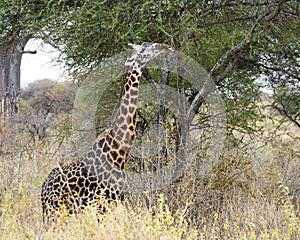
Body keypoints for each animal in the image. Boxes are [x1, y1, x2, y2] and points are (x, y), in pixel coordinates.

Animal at [41, 42, 170, 224]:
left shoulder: (116, 202)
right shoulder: (100, 205)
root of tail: (43, 189)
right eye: (146, 48)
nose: (165, 45)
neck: (119, 155)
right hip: (56, 212)